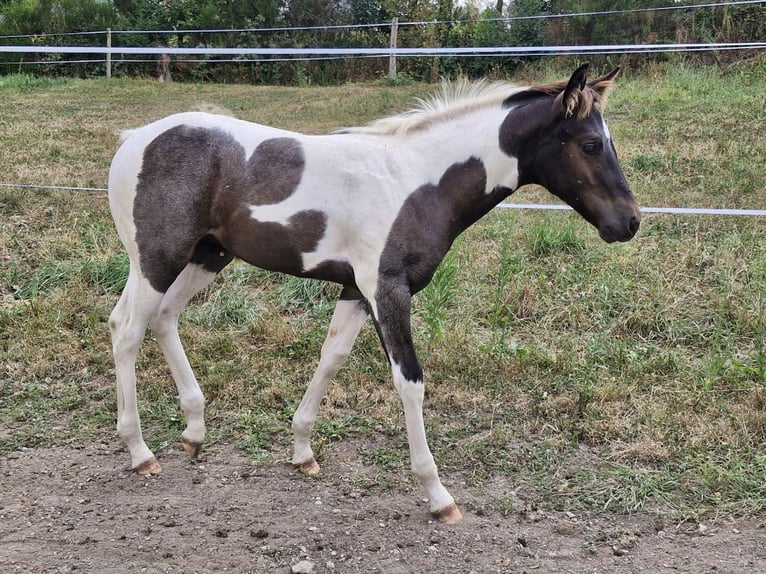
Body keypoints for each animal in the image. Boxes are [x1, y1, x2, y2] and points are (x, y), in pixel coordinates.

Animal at [106, 65, 636, 524]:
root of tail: (134, 139)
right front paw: (438, 495)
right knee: (128, 330)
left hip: (205, 256)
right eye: (591, 144)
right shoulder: (388, 290)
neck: (418, 182)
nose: (628, 223)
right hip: (159, 259)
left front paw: (302, 451)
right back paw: (139, 452)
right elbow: (409, 381)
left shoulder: (355, 290)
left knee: (160, 318)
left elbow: (332, 357)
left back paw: (194, 431)